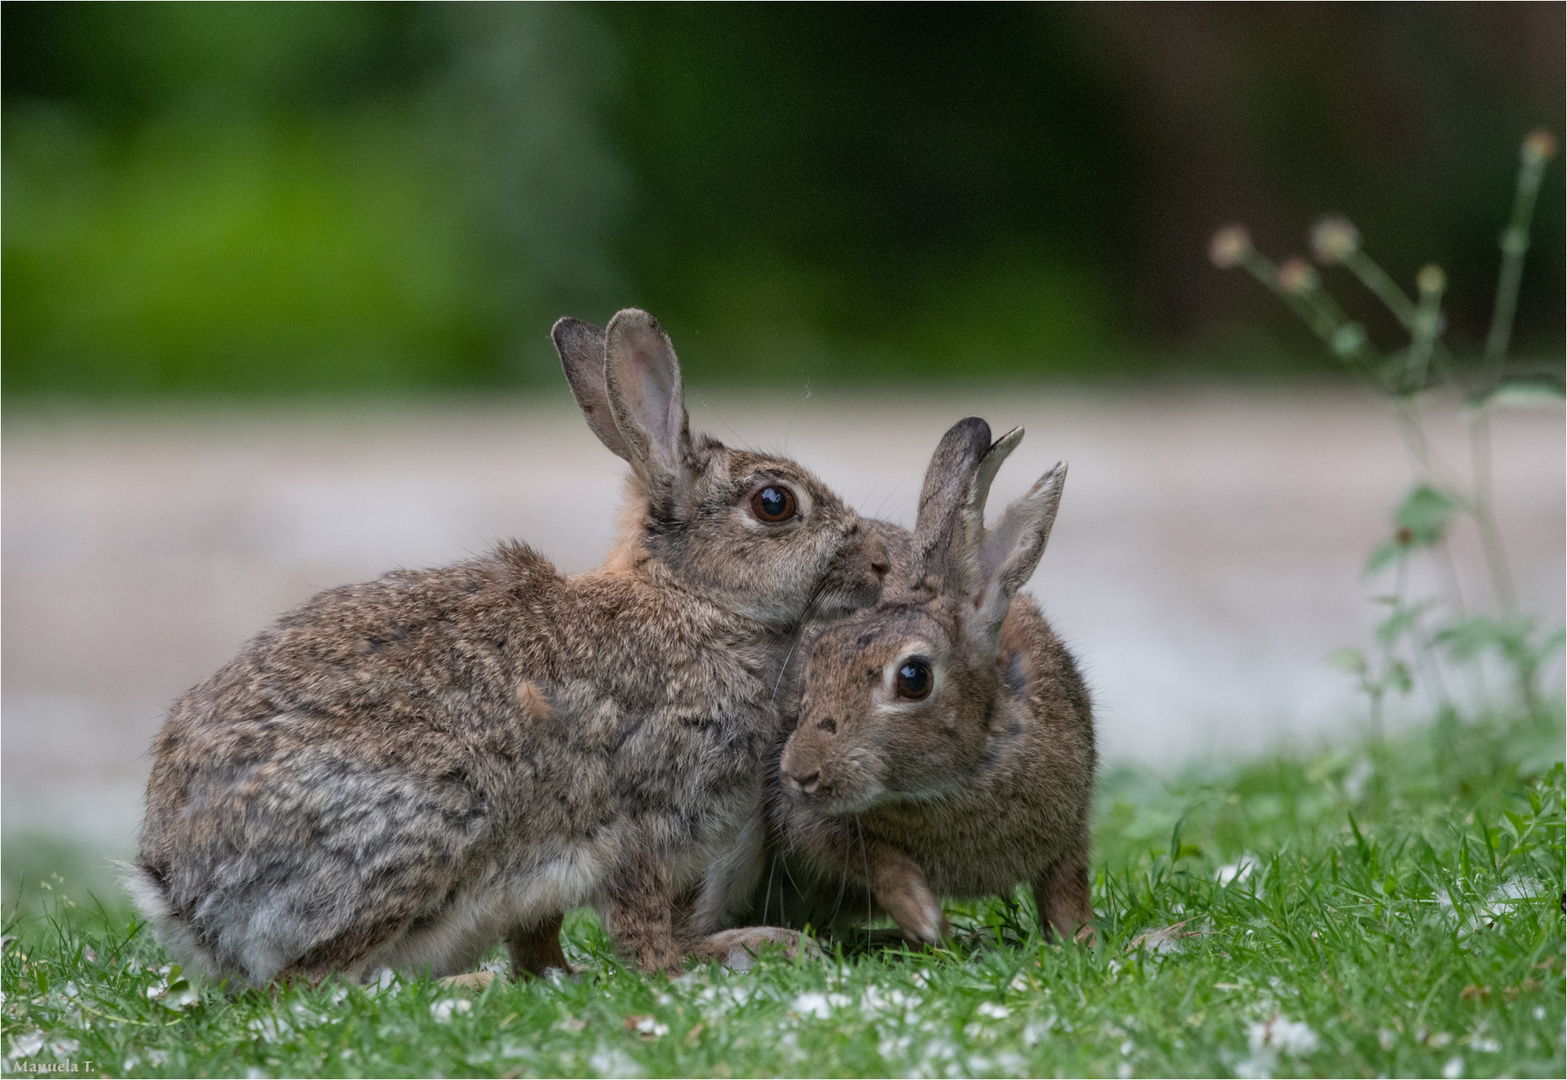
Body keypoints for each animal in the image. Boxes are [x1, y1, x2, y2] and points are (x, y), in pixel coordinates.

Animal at [128, 305, 890, 984]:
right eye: (774, 504)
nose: (880, 561)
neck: (695, 601)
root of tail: (181, 894)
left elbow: (540, 936)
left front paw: (560, 975)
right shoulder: (647, 823)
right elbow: (642, 926)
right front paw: (694, 964)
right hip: (422, 830)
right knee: (311, 982)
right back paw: (469, 985)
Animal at [705, 416, 1096, 946]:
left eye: (914, 678)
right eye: (812, 668)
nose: (800, 775)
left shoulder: (1072, 822)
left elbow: (1066, 890)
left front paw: (1084, 943)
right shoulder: (814, 823)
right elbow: (873, 858)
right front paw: (927, 920)